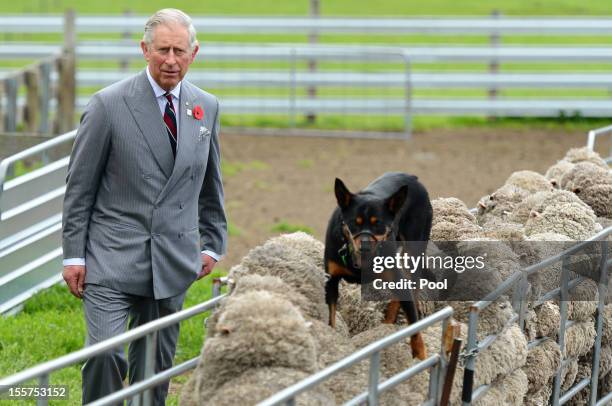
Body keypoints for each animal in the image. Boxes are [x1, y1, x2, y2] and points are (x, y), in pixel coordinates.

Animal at [326, 171, 436, 358]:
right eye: (354, 223)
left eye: (378, 223)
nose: (364, 245)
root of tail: (411, 177)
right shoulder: (331, 281)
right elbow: (331, 318)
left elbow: (414, 327)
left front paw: (421, 354)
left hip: (414, 250)